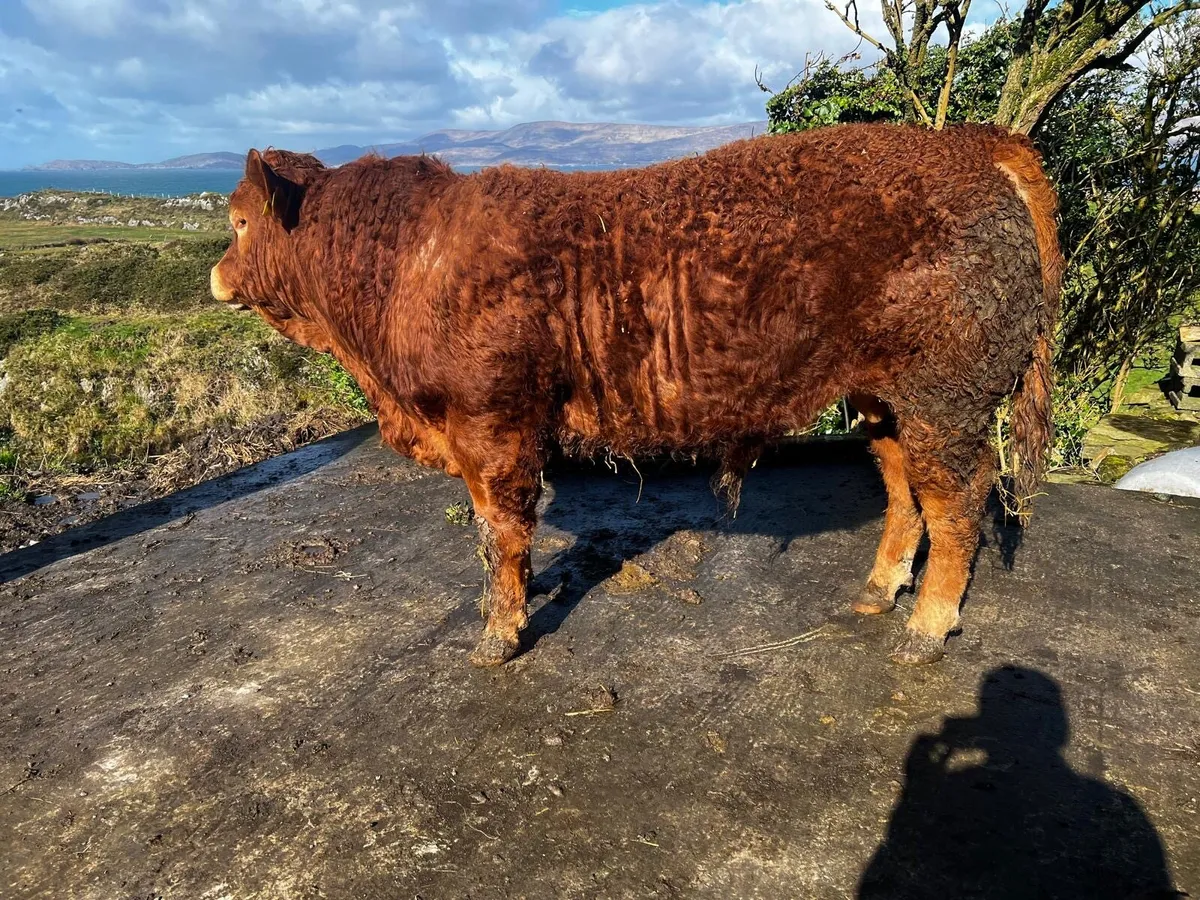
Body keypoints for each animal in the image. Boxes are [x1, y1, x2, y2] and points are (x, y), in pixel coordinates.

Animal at [210, 123, 1062, 667]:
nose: (216, 275)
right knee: (902, 490)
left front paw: (497, 636)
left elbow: (500, 534)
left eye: (241, 220)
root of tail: (971, 142)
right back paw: (879, 592)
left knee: (959, 499)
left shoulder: (493, 424)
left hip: (944, 396)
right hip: (885, 399)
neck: (410, 260)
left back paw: (927, 628)